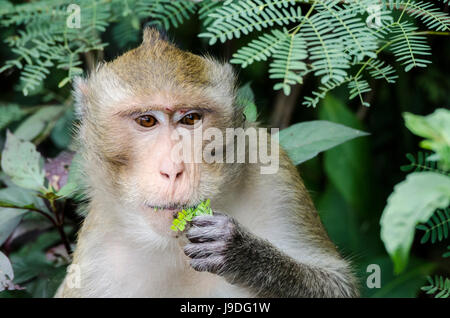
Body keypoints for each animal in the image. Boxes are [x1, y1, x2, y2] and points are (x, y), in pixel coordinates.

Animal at [56, 28, 358, 298]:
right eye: (147, 120)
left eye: (190, 118)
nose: (173, 170)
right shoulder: (95, 258)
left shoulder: (274, 174)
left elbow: (340, 283)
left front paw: (242, 253)